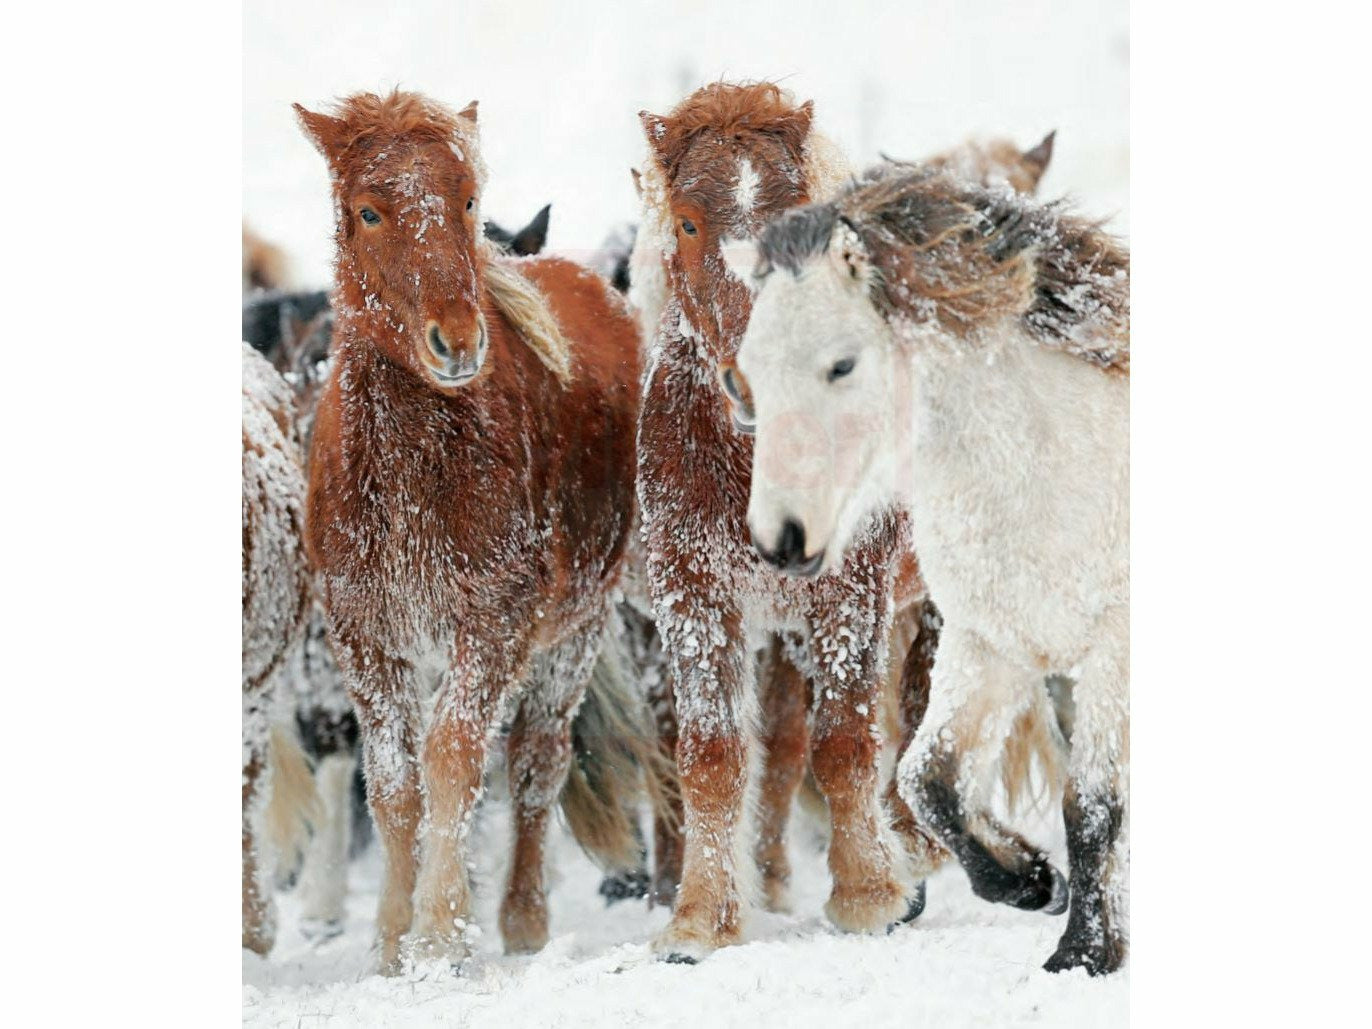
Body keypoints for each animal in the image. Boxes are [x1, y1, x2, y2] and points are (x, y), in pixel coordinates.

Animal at [296, 89, 644, 972]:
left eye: (466, 199)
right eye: (368, 209)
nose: (457, 341)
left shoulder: (492, 622)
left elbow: (453, 757)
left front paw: (441, 934)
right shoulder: (366, 636)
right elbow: (393, 780)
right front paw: (390, 939)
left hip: (575, 631)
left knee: (535, 763)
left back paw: (521, 919)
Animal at [631, 81, 948, 962]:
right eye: (688, 221)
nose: (755, 377)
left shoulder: (852, 589)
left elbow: (846, 741)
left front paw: (871, 893)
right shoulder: (695, 591)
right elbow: (714, 753)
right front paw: (701, 916)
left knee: (903, 723)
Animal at [728, 165, 1129, 975]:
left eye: (842, 363)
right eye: (748, 372)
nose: (782, 538)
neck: (1049, 465)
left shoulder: (1113, 652)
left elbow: (1092, 805)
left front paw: (1084, 954)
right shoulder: (990, 645)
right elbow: (927, 779)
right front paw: (1029, 880)